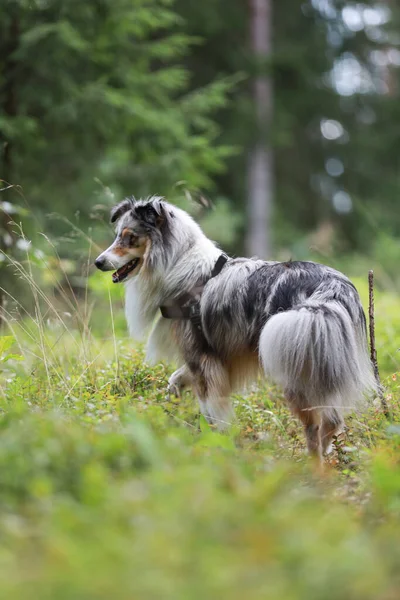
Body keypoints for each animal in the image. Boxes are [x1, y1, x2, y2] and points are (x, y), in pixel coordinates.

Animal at [95, 195, 376, 462]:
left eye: (130, 238)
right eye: (117, 235)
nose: (98, 262)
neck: (177, 265)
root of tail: (333, 287)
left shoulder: (201, 358)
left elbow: (211, 410)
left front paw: (217, 442)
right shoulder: (214, 358)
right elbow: (175, 380)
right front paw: (173, 405)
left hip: (295, 364)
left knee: (314, 428)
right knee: (333, 419)